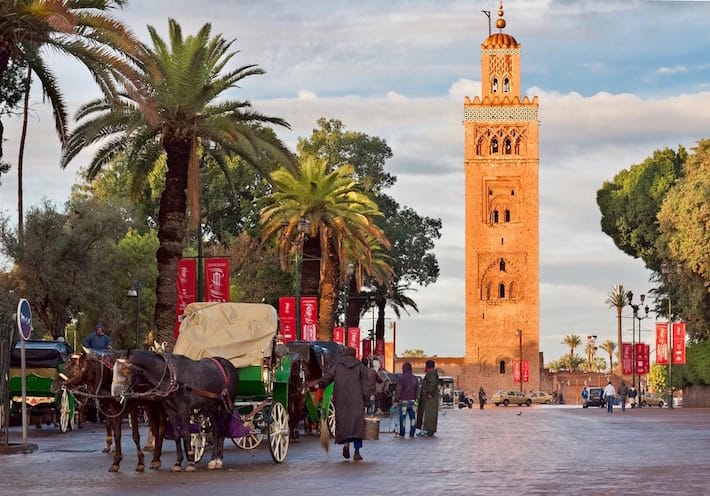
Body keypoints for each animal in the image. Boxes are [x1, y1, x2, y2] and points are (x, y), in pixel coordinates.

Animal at [111, 350, 239, 470]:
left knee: (222, 429)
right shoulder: (170, 411)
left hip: (226, 404)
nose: (115, 394)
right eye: (113, 370)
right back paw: (213, 460)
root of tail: (227, 364)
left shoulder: (184, 410)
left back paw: (218, 459)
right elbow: (177, 435)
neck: (171, 377)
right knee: (216, 429)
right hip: (211, 405)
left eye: (125, 370)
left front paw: (191, 462)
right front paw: (178, 462)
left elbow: (186, 434)